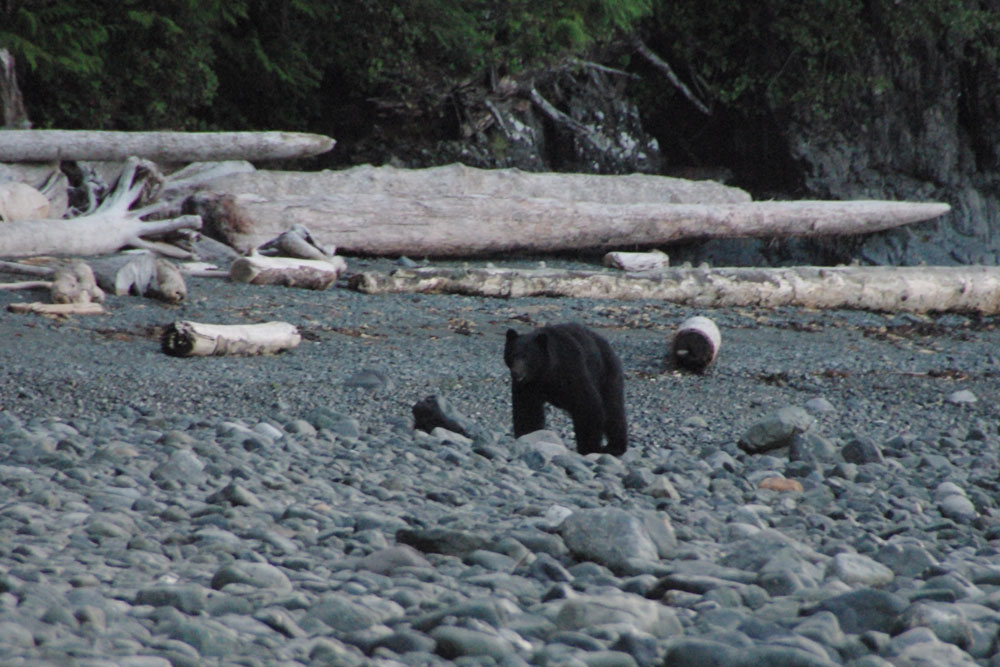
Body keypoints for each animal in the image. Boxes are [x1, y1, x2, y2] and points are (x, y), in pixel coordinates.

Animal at [504, 320, 628, 456]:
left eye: (526, 356)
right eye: (512, 355)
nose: (516, 373)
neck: (547, 373)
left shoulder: (573, 370)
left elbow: (588, 405)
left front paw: (589, 448)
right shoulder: (528, 386)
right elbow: (526, 409)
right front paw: (528, 436)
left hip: (606, 374)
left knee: (613, 408)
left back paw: (615, 447)